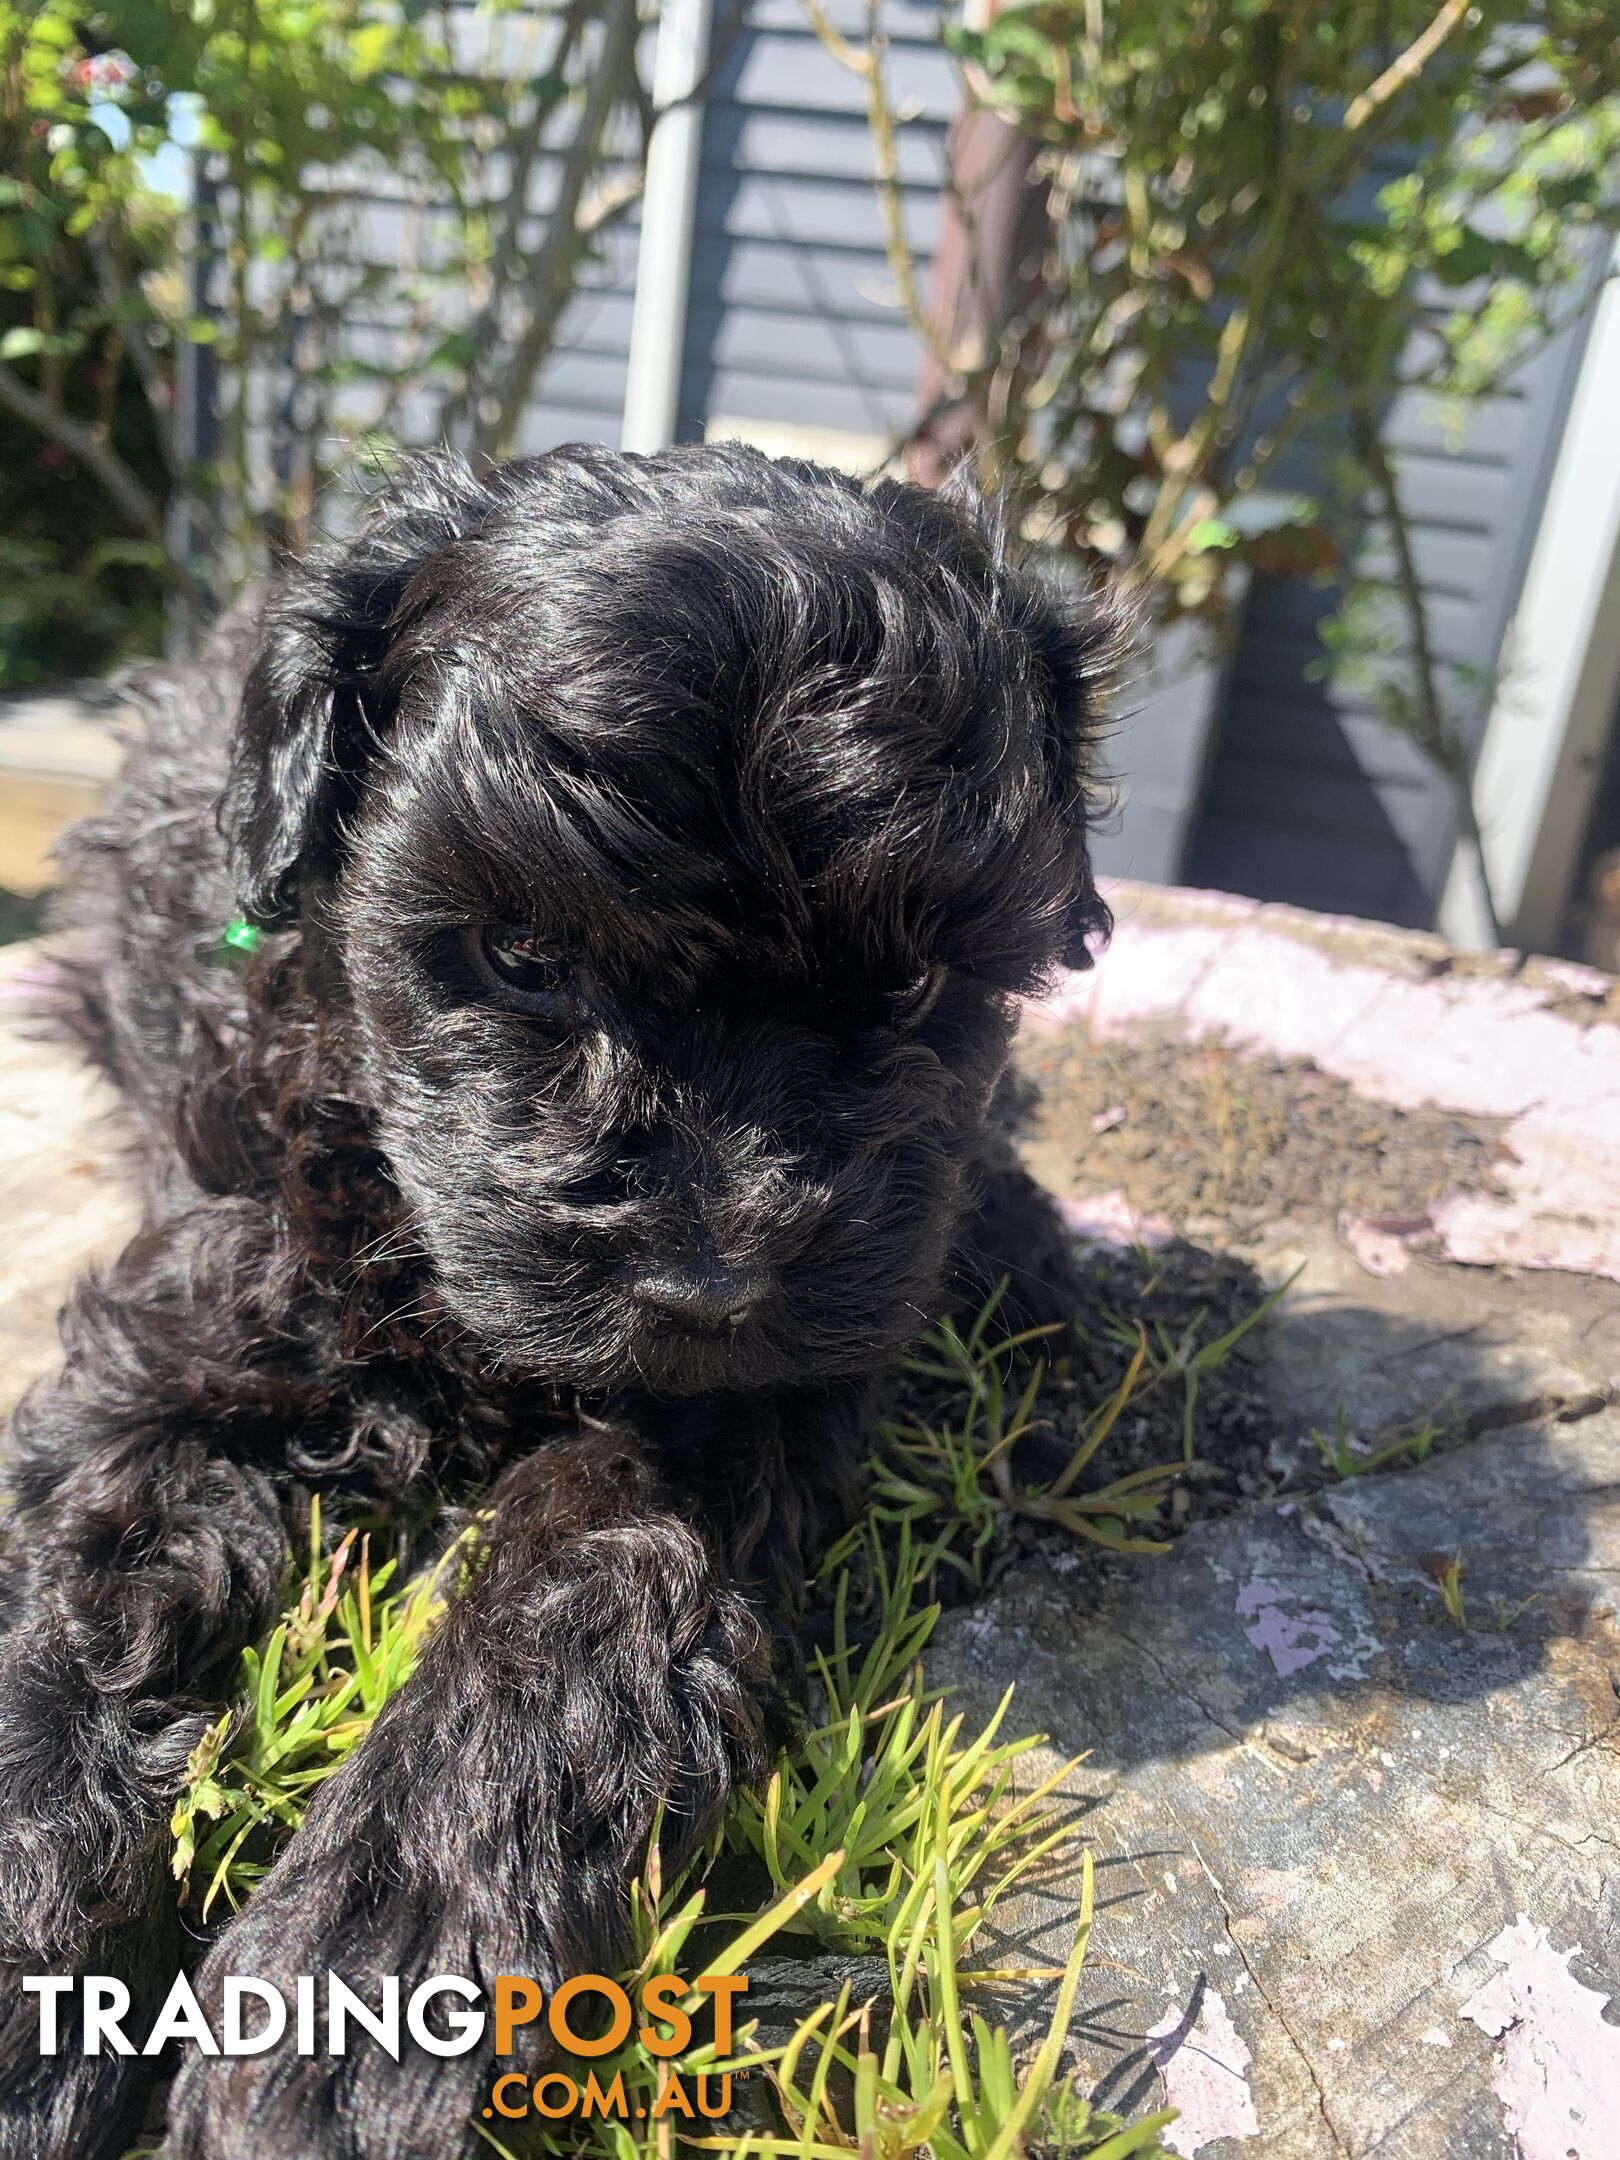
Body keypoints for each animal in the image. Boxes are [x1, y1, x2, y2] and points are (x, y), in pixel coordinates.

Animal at [0, 447, 1114, 2151]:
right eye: (521, 955)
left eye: (924, 986)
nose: (715, 1279)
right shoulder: (193, 1315)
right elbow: (69, 1579)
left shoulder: (731, 1411)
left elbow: (574, 1591)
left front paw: (357, 1983)